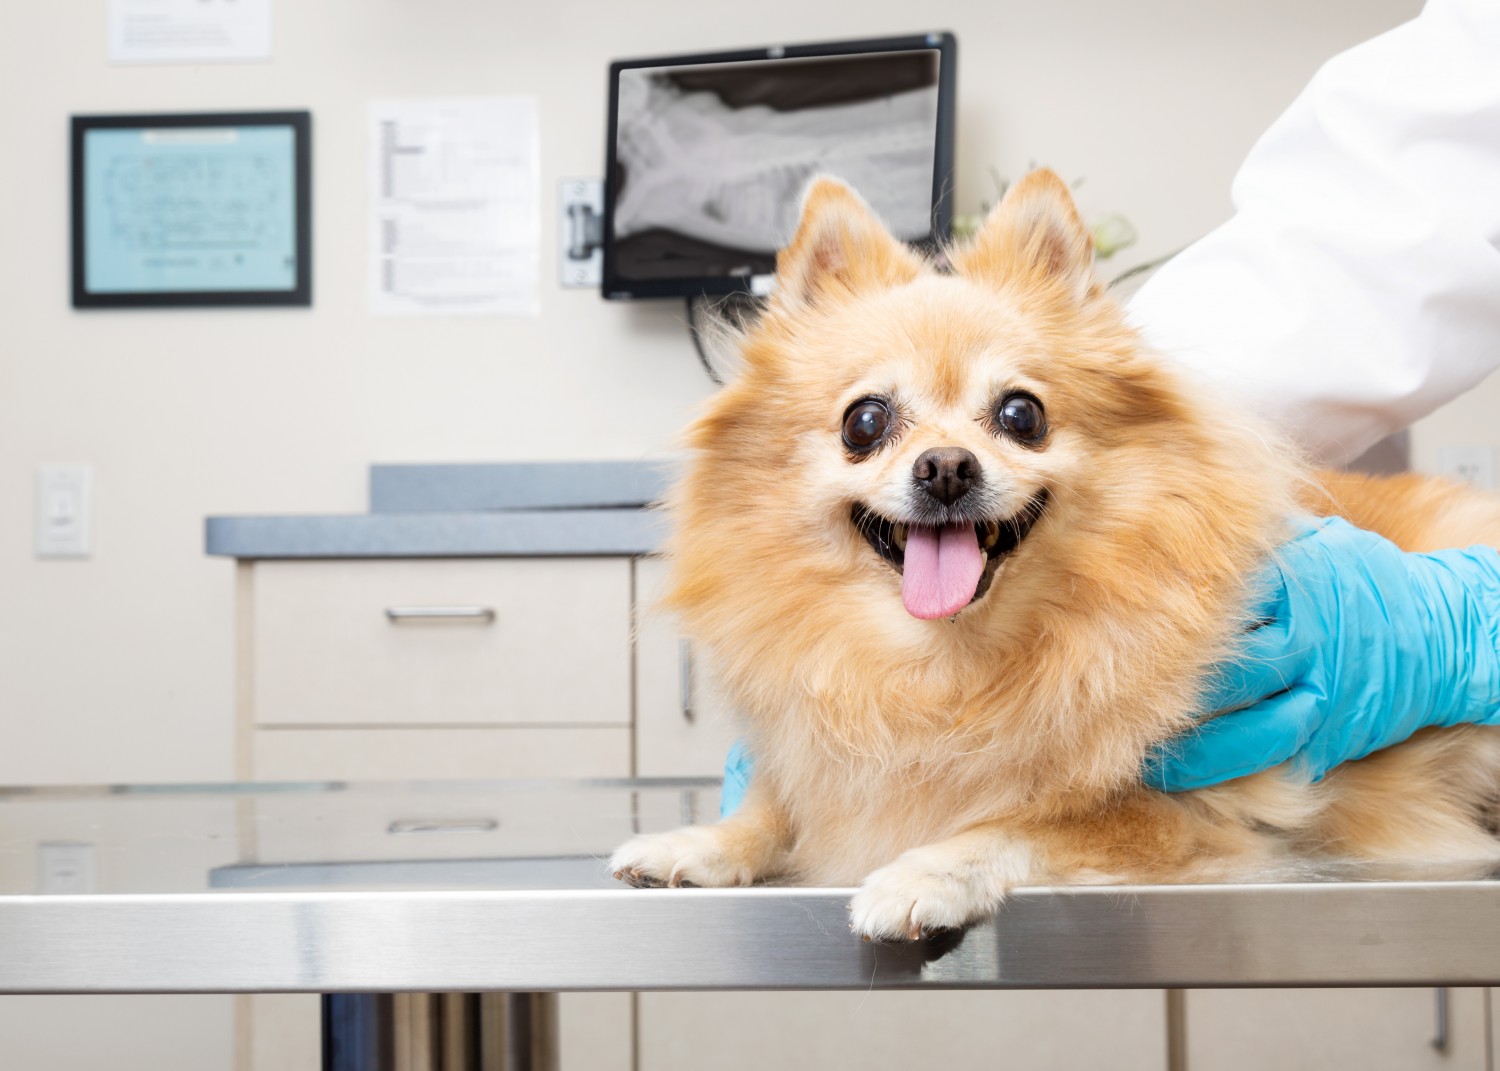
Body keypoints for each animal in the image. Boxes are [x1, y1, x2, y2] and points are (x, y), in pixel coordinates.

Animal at [606, 166, 1500, 936]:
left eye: (1020, 414)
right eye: (865, 422)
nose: (945, 467)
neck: (946, 668)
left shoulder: (1198, 812)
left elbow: (1037, 816)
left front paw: (926, 868)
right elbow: (778, 801)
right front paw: (703, 840)